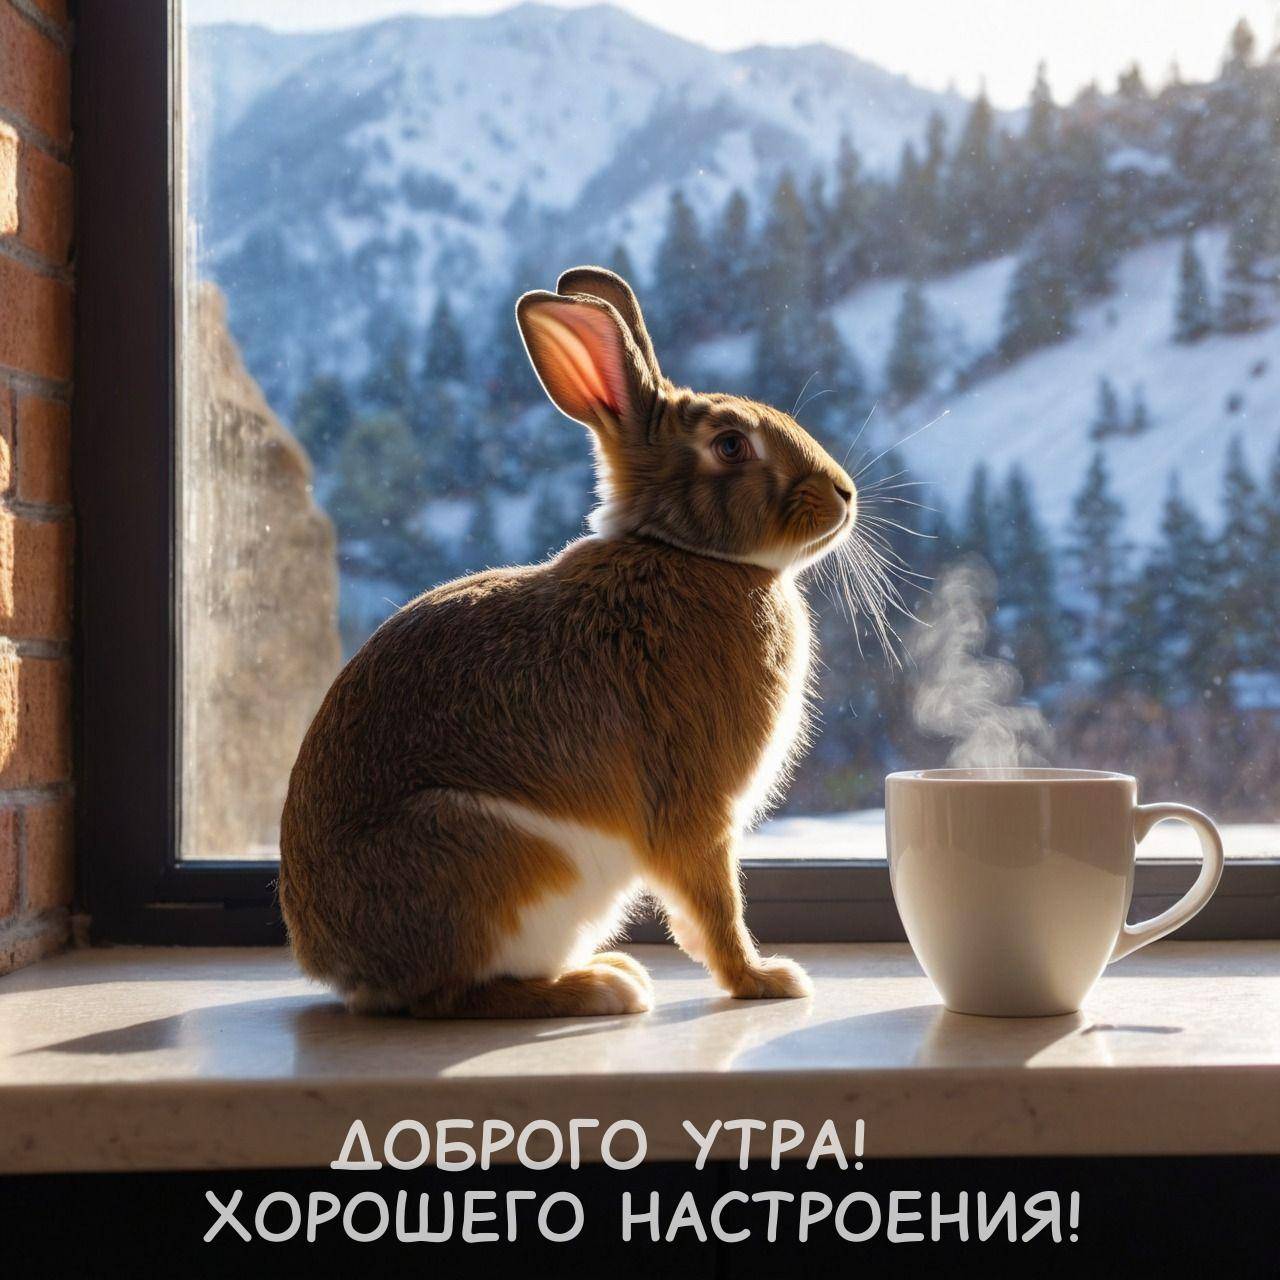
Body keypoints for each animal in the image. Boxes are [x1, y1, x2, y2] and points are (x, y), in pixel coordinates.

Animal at [278, 266, 858, 1017]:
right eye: (731, 445)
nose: (844, 493)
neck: (684, 552)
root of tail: (338, 967)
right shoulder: (695, 804)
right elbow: (714, 904)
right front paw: (763, 981)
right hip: (502, 859)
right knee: (453, 997)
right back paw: (603, 988)